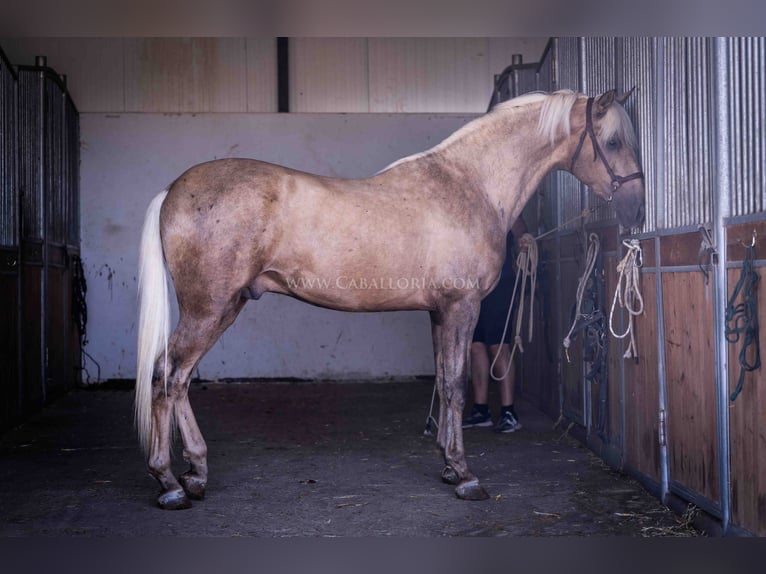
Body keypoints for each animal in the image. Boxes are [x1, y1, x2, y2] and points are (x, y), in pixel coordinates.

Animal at [135, 90, 644, 512]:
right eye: (614, 141)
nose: (637, 211)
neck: (470, 184)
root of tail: (173, 191)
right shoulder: (462, 307)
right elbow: (456, 386)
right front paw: (466, 476)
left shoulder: (439, 312)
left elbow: (443, 381)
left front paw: (447, 465)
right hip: (209, 309)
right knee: (168, 375)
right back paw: (172, 483)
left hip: (223, 308)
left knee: (177, 378)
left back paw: (194, 473)